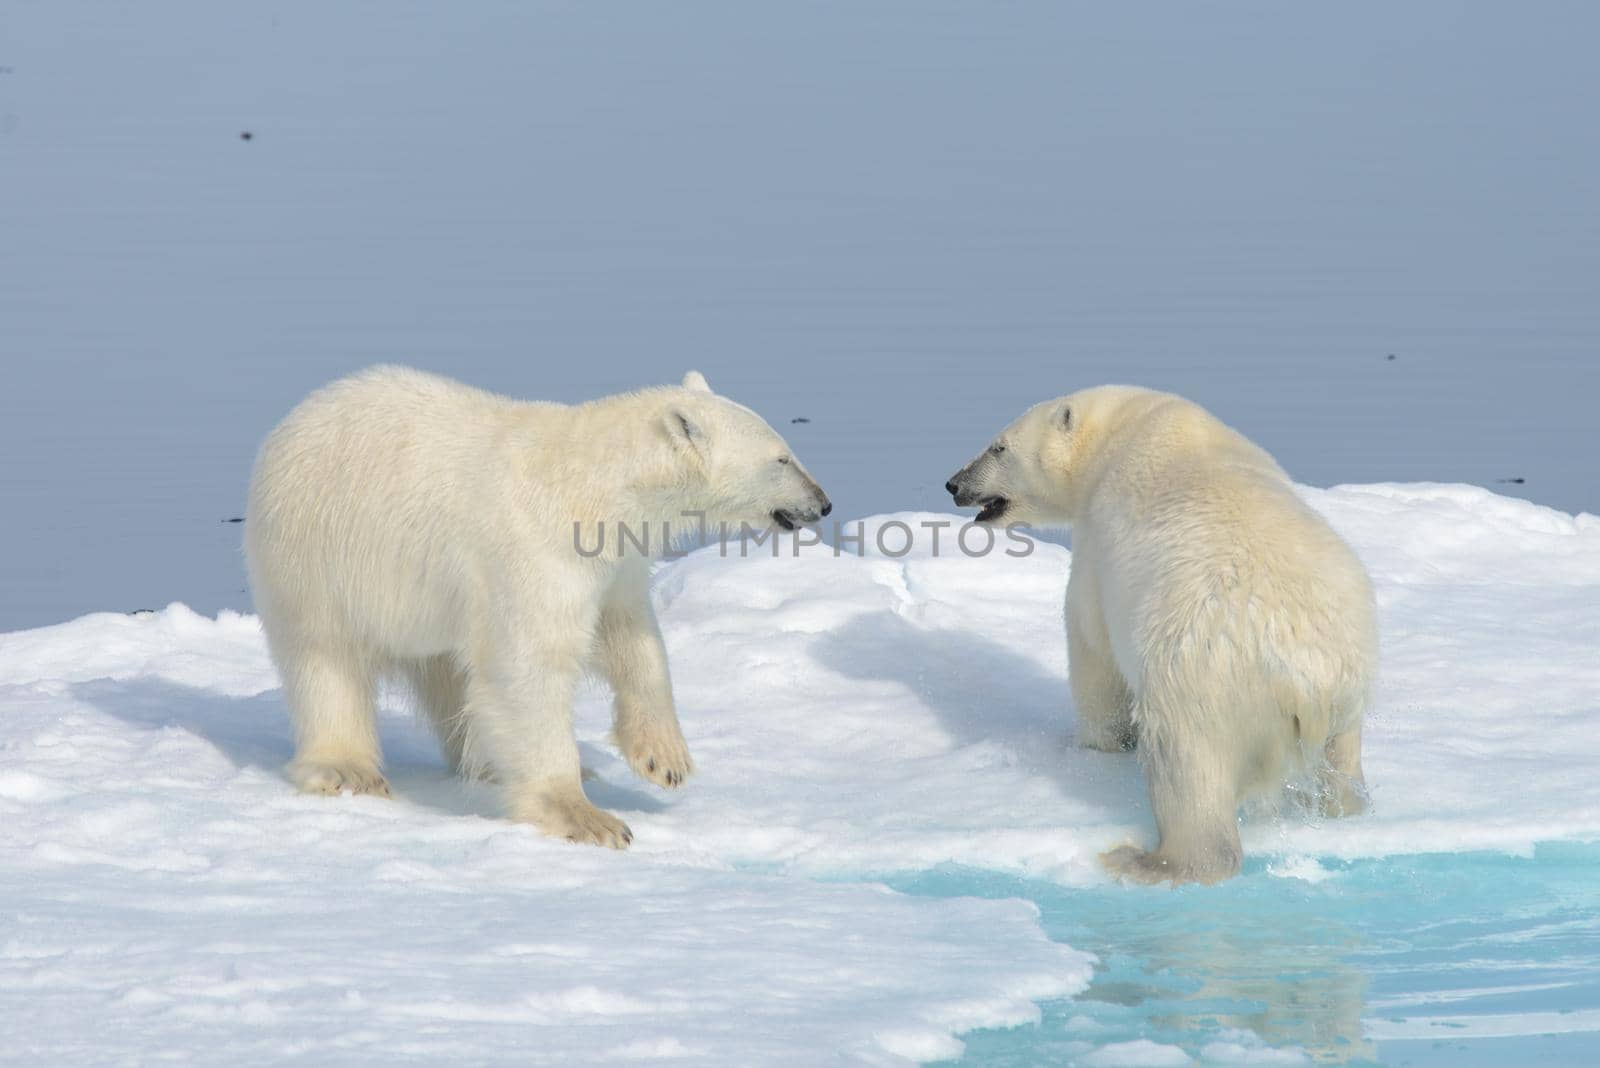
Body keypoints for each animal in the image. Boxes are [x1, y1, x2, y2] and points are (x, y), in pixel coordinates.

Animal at [246, 367, 838, 850]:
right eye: (782, 457)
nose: (824, 502)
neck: (594, 487)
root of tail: (295, 417)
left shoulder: (615, 562)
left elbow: (632, 637)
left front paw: (664, 758)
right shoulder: (536, 552)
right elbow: (531, 667)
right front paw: (589, 819)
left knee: (454, 672)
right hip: (318, 558)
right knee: (327, 660)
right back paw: (349, 770)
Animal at [947, 383, 1376, 882]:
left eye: (998, 447)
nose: (954, 484)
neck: (1123, 428)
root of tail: (1303, 677)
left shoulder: (1097, 549)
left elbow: (1093, 649)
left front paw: (1096, 744)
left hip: (1203, 683)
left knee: (1186, 771)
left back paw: (1150, 860)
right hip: (1348, 685)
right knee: (1342, 759)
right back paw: (1341, 806)